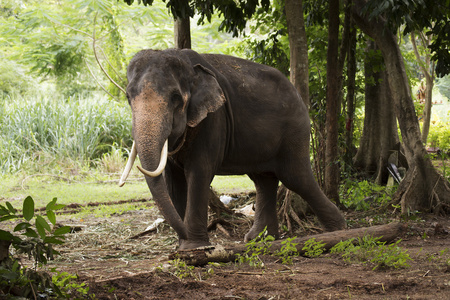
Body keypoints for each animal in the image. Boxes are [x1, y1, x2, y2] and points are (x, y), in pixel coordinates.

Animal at [118, 48, 344, 250]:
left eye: (175, 97)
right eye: (128, 97)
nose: (183, 235)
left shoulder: (213, 121)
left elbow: (199, 174)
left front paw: (195, 247)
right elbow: (173, 181)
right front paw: (184, 248)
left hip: (294, 132)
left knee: (296, 177)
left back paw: (338, 230)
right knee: (264, 180)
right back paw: (260, 240)